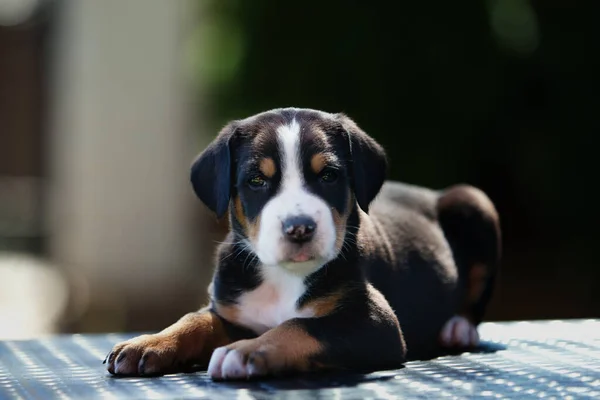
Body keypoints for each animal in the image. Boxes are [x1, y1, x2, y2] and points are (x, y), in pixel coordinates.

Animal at [104, 108, 502, 380]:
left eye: (328, 176)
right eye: (256, 181)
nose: (299, 228)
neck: (283, 276)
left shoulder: (374, 322)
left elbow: (299, 325)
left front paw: (246, 351)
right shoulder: (233, 311)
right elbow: (195, 320)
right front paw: (149, 343)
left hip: (474, 200)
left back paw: (458, 328)